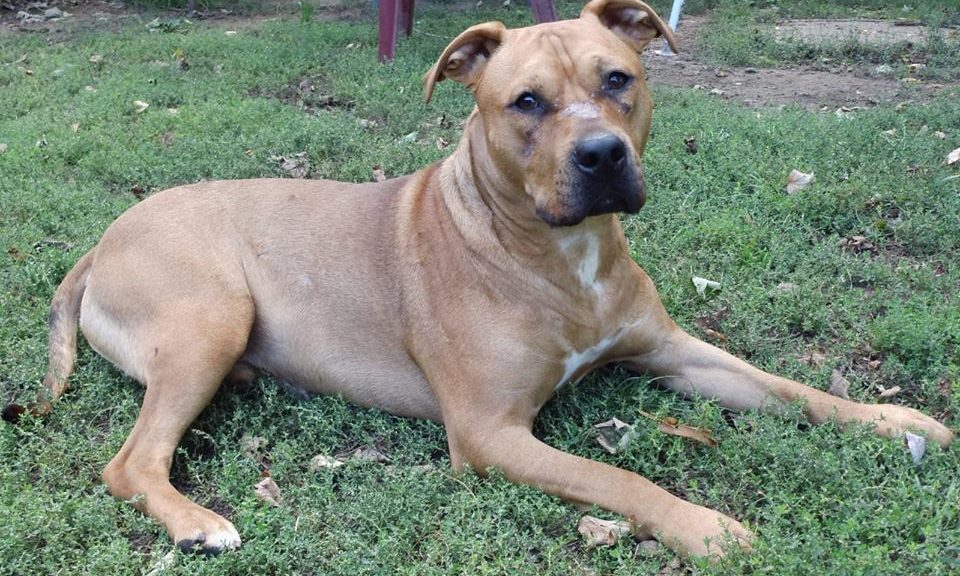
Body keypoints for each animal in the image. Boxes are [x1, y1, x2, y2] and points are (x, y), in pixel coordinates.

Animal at [4, 0, 953, 559]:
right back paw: (200, 522)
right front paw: (705, 526)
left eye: (620, 79)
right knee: (130, 463)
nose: (602, 156)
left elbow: (791, 390)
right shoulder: (492, 434)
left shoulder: (676, 350)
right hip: (211, 316)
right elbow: (619, 479)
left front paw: (896, 421)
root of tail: (101, 239)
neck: (560, 258)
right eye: (525, 102)